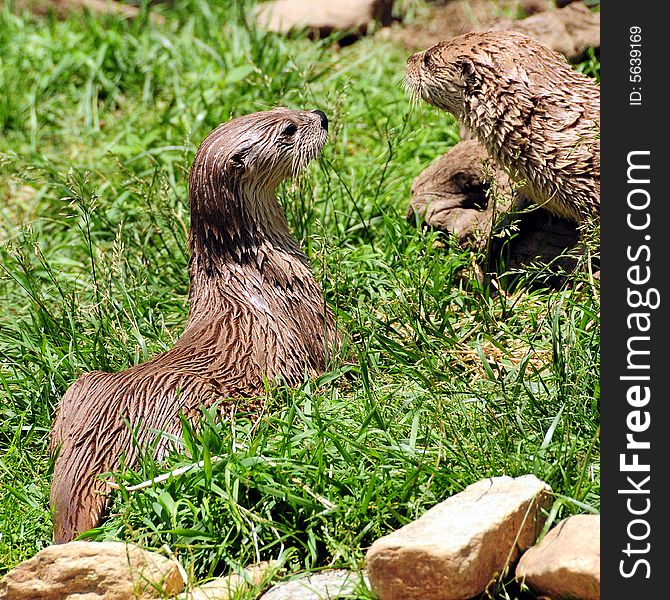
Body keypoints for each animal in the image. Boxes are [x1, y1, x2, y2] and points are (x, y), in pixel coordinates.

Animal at [48, 108, 336, 544]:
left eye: (283, 107)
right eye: (289, 129)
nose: (320, 116)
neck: (250, 263)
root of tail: (102, 435)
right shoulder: (313, 315)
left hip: (81, 388)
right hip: (201, 407)